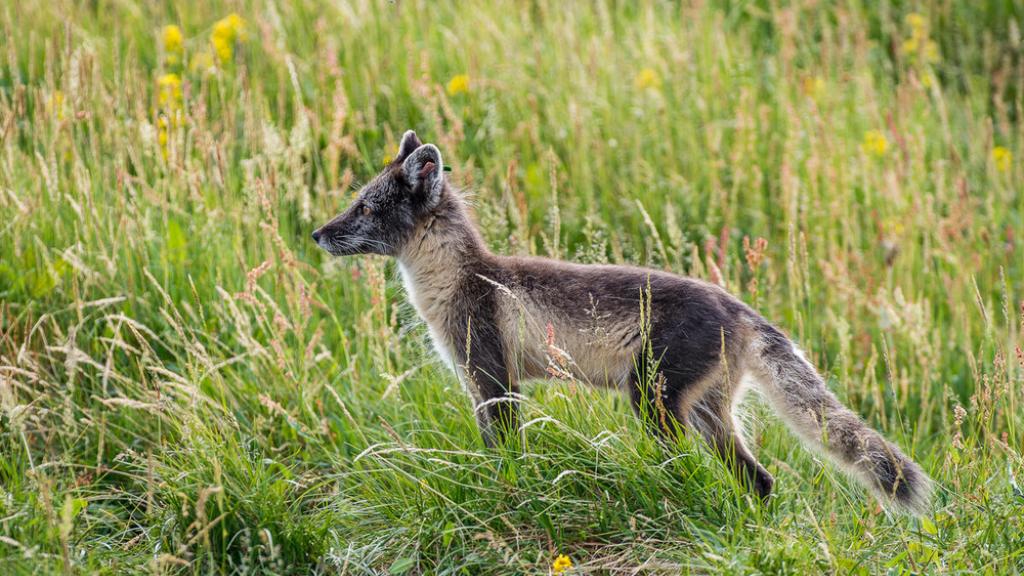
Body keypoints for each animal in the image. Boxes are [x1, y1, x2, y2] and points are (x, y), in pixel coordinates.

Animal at [312, 130, 932, 513]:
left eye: (364, 208)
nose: (316, 233)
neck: (459, 280)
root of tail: (740, 308)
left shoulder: (492, 378)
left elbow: (505, 452)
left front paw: (505, 490)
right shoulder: (485, 383)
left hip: (652, 400)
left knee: (699, 468)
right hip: (707, 411)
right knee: (759, 479)